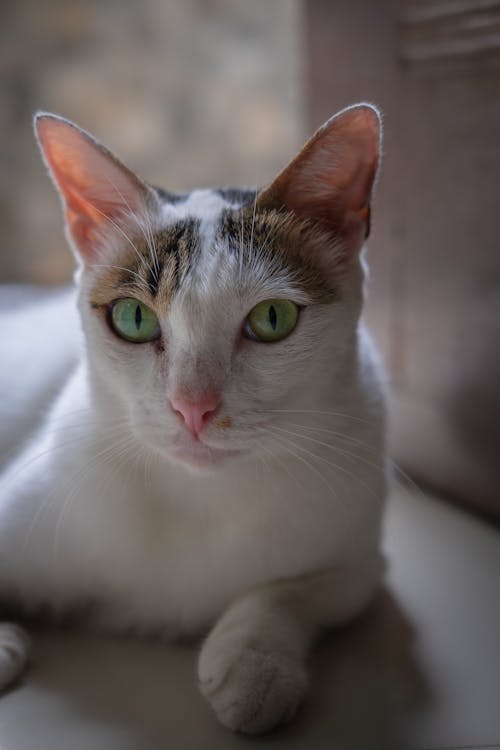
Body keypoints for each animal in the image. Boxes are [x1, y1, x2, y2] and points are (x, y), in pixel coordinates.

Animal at [0, 103, 386, 736]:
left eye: (272, 318)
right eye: (133, 318)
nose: (192, 406)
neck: (197, 497)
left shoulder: (359, 561)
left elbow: (293, 591)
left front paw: (254, 664)